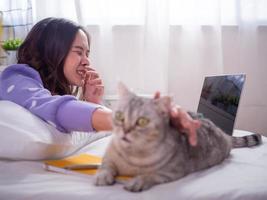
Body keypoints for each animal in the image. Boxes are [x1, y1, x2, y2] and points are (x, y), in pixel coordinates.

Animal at [94, 82, 264, 192]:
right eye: (120, 116)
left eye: (142, 121)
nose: (125, 130)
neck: (132, 154)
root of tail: (223, 132)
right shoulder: (109, 155)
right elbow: (106, 165)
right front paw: (102, 175)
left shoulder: (172, 171)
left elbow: (150, 175)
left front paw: (138, 181)